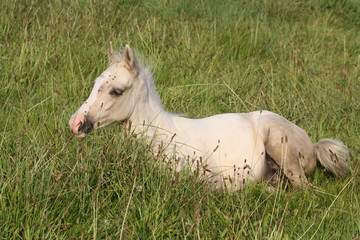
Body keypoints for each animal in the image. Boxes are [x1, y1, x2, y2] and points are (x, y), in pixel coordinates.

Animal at [69, 43, 350, 189]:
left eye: (116, 91)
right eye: (94, 84)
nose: (76, 123)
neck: (162, 137)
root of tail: (311, 144)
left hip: (283, 150)